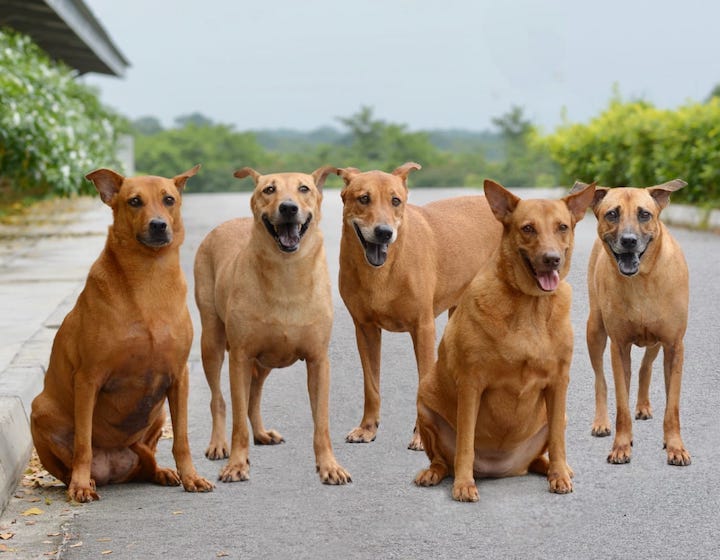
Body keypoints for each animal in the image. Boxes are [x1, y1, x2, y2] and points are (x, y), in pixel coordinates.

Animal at [30, 166, 214, 504]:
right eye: (134, 201)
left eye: (169, 199)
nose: (158, 225)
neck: (149, 275)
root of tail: (114, 470)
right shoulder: (88, 379)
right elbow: (84, 443)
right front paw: (80, 484)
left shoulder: (179, 375)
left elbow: (181, 439)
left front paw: (190, 477)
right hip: (40, 410)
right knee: (72, 460)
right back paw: (84, 480)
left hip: (157, 414)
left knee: (146, 461)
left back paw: (161, 472)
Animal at [190, 164, 350, 484]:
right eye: (269, 189)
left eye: (304, 188)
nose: (288, 208)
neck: (287, 273)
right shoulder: (240, 357)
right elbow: (237, 421)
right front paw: (237, 464)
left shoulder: (318, 360)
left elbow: (321, 422)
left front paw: (329, 466)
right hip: (212, 341)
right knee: (219, 400)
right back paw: (218, 444)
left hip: (265, 360)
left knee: (254, 396)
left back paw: (262, 433)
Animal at [336, 163, 500, 450]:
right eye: (363, 198)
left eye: (395, 201)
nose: (384, 232)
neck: (382, 272)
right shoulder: (364, 329)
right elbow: (371, 385)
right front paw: (367, 428)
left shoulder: (422, 327)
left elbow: (423, 380)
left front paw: (421, 436)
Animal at [414, 180, 592, 504]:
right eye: (528, 228)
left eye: (562, 227)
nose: (552, 259)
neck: (530, 305)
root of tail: (505, 469)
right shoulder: (471, 384)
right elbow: (466, 444)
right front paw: (463, 484)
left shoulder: (559, 382)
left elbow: (558, 442)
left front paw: (559, 475)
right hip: (425, 406)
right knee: (442, 460)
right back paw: (434, 473)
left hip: (558, 416)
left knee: (544, 453)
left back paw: (557, 469)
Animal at [572, 180, 692, 468]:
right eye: (612, 214)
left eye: (644, 214)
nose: (628, 241)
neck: (642, 280)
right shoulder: (619, 346)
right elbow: (621, 404)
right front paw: (621, 446)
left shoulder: (674, 345)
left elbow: (672, 405)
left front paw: (675, 446)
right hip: (595, 330)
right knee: (603, 382)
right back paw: (602, 422)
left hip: (657, 342)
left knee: (645, 367)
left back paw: (644, 406)